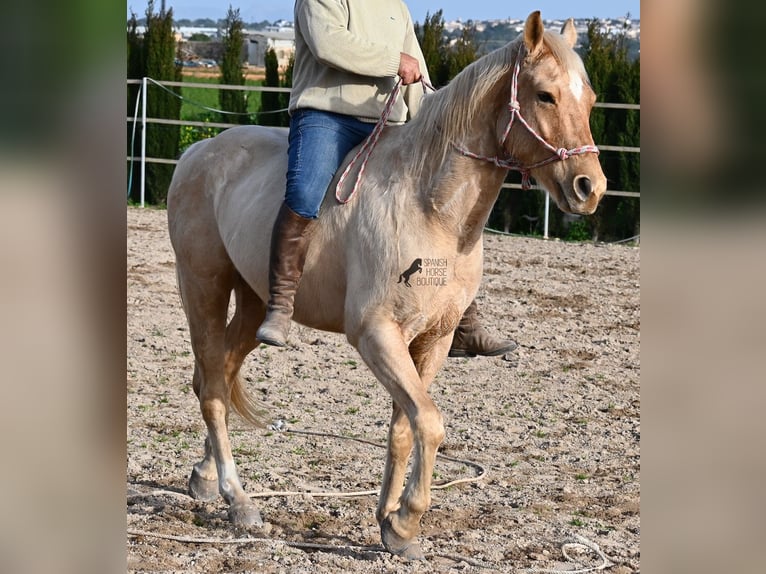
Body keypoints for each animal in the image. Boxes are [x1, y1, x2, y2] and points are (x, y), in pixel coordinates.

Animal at [166, 11, 608, 560]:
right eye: (545, 95)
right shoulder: (376, 334)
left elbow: (404, 425)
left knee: (219, 377)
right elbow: (430, 423)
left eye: (589, 100)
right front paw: (407, 520)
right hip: (202, 287)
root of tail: (199, 151)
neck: (429, 206)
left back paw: (205, 479)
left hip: (251, 305)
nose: (591, 188)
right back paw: (239, 501)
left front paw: (390, 523)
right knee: (211, 389)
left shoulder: (432, 340)